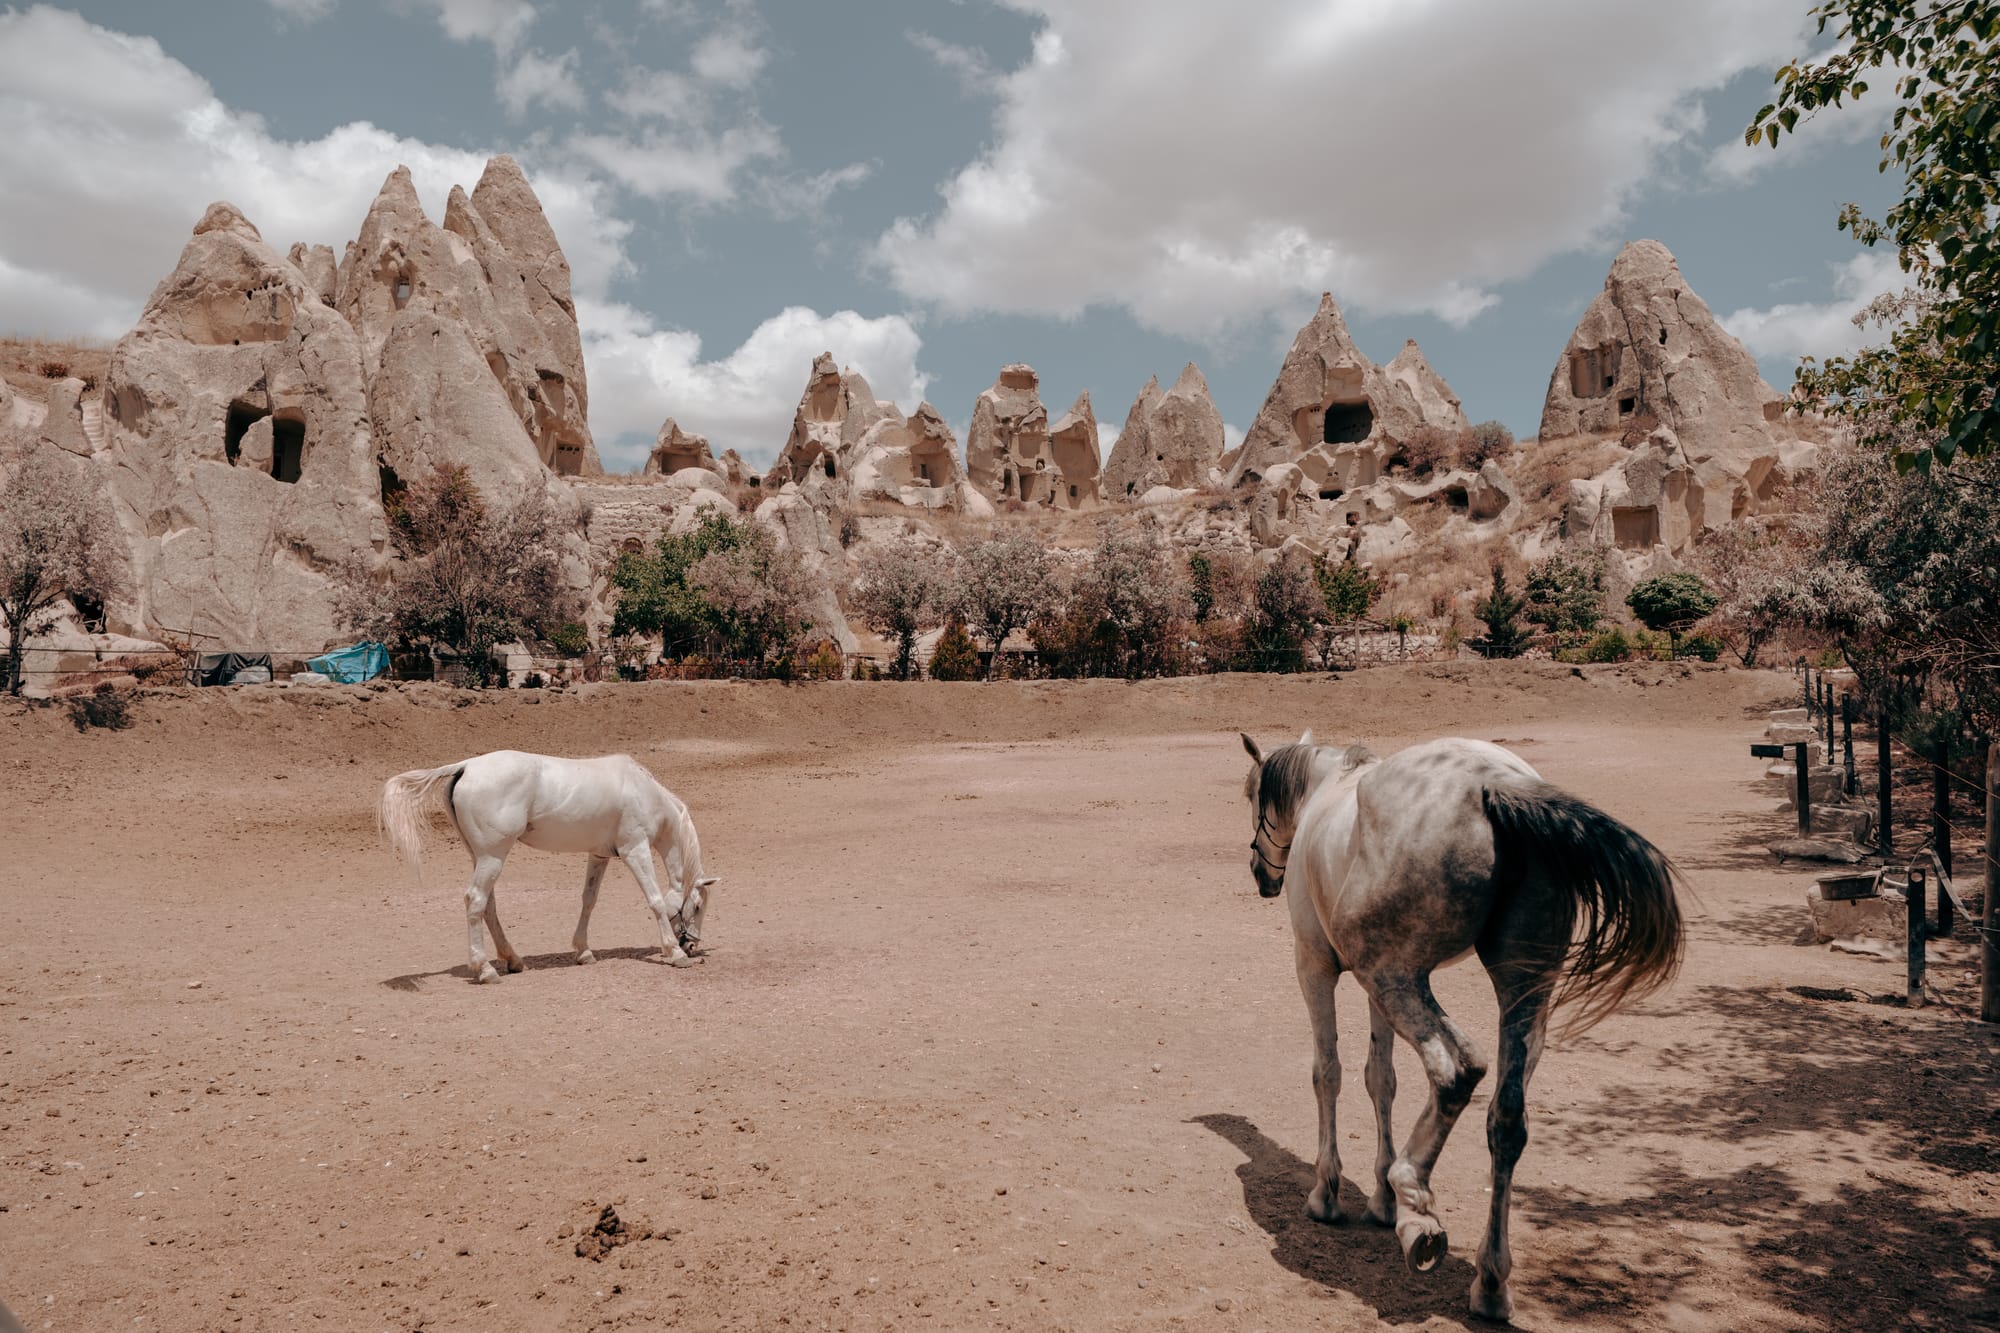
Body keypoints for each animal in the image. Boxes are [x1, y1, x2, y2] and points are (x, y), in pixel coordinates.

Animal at [379, 750, 718, 984]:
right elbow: (657, 900)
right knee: (475, 901)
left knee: (488, 905)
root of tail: (466, 766)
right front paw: (674, 953)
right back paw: (486, 969)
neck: (643, 791)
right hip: (492, 856)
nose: (691, 944)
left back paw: (513, 960)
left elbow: (588, 901)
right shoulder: (635, 850)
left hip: (482, 857)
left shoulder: (599, 856)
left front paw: (583, 951)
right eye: (698, 906)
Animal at [1238, 730, 1682, 1323]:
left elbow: (1328, 1072)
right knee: (1507, 1119)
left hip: (1396, 978)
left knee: (1457, 1069)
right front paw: (1381, 1200)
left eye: (1253, 797)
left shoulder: (1317, 966)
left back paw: (1415, 1200)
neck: (1327, 789)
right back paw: (1488, 1280)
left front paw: (1330, 1193)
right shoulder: (1369, 990)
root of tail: (1496, 785)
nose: (1261, 874)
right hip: (1514, 989)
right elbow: (1381, 1079)